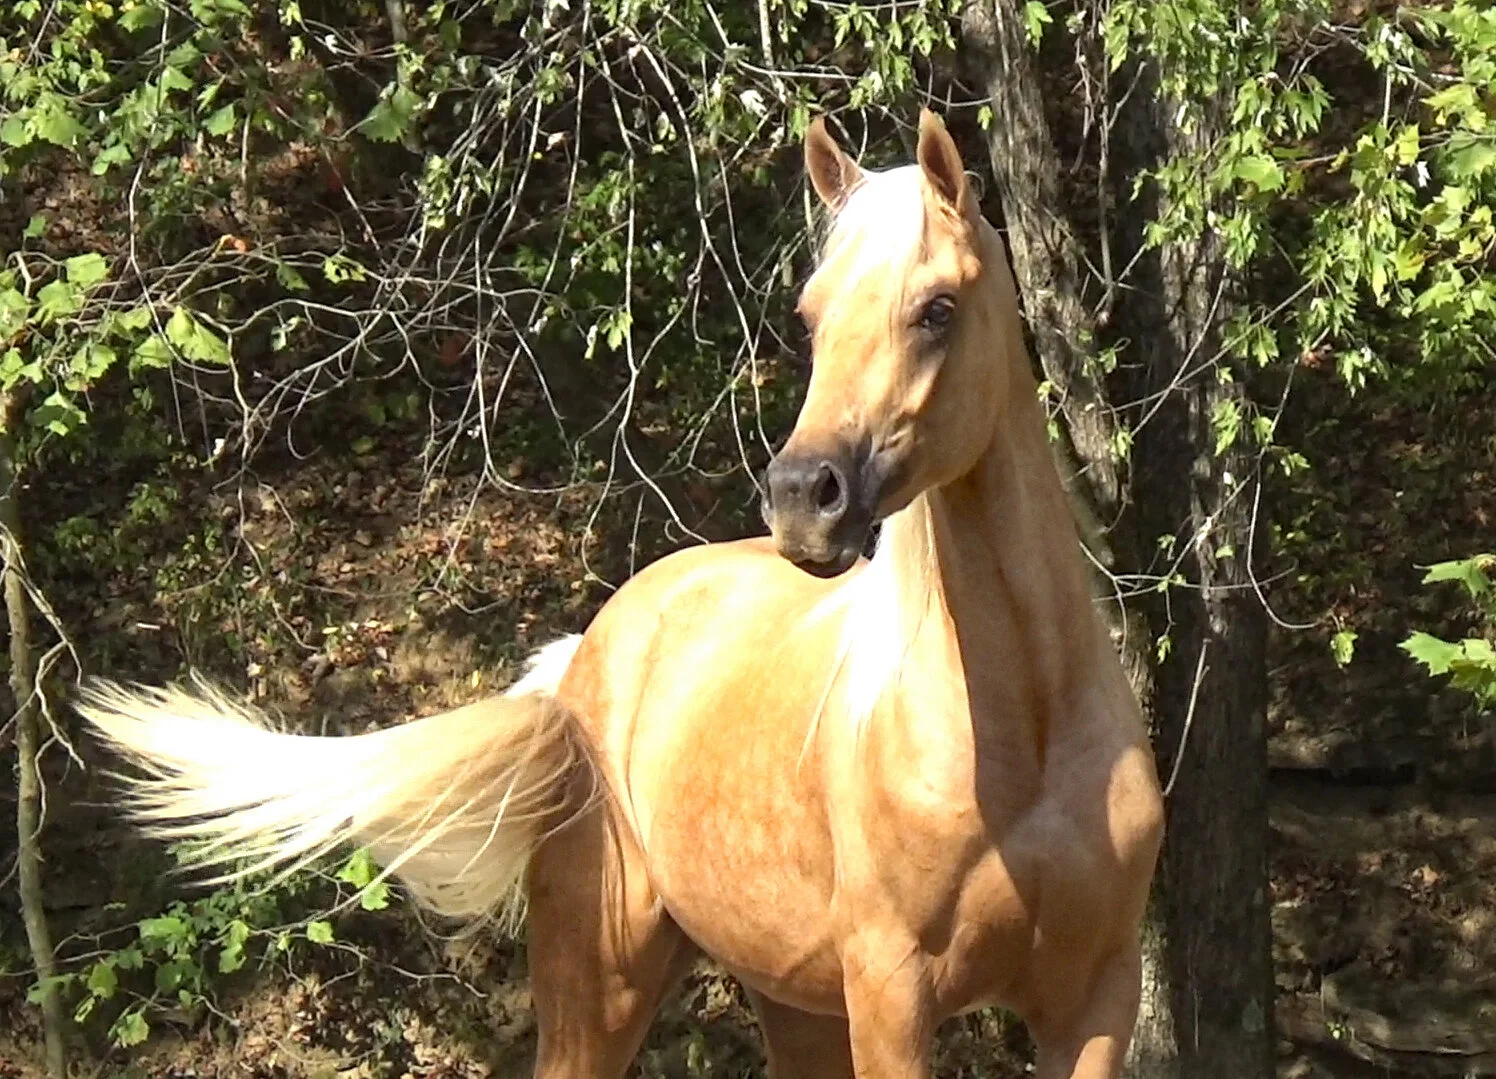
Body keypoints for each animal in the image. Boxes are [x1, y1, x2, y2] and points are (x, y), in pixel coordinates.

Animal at [77, 108, 1164, 1079]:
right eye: (811, 316)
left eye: (937, 308)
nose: (802, 499)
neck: (1024, 735)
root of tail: (580, 668)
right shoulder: (891, 997)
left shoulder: (1094, 1001)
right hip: (601, 978)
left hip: (790, 994)